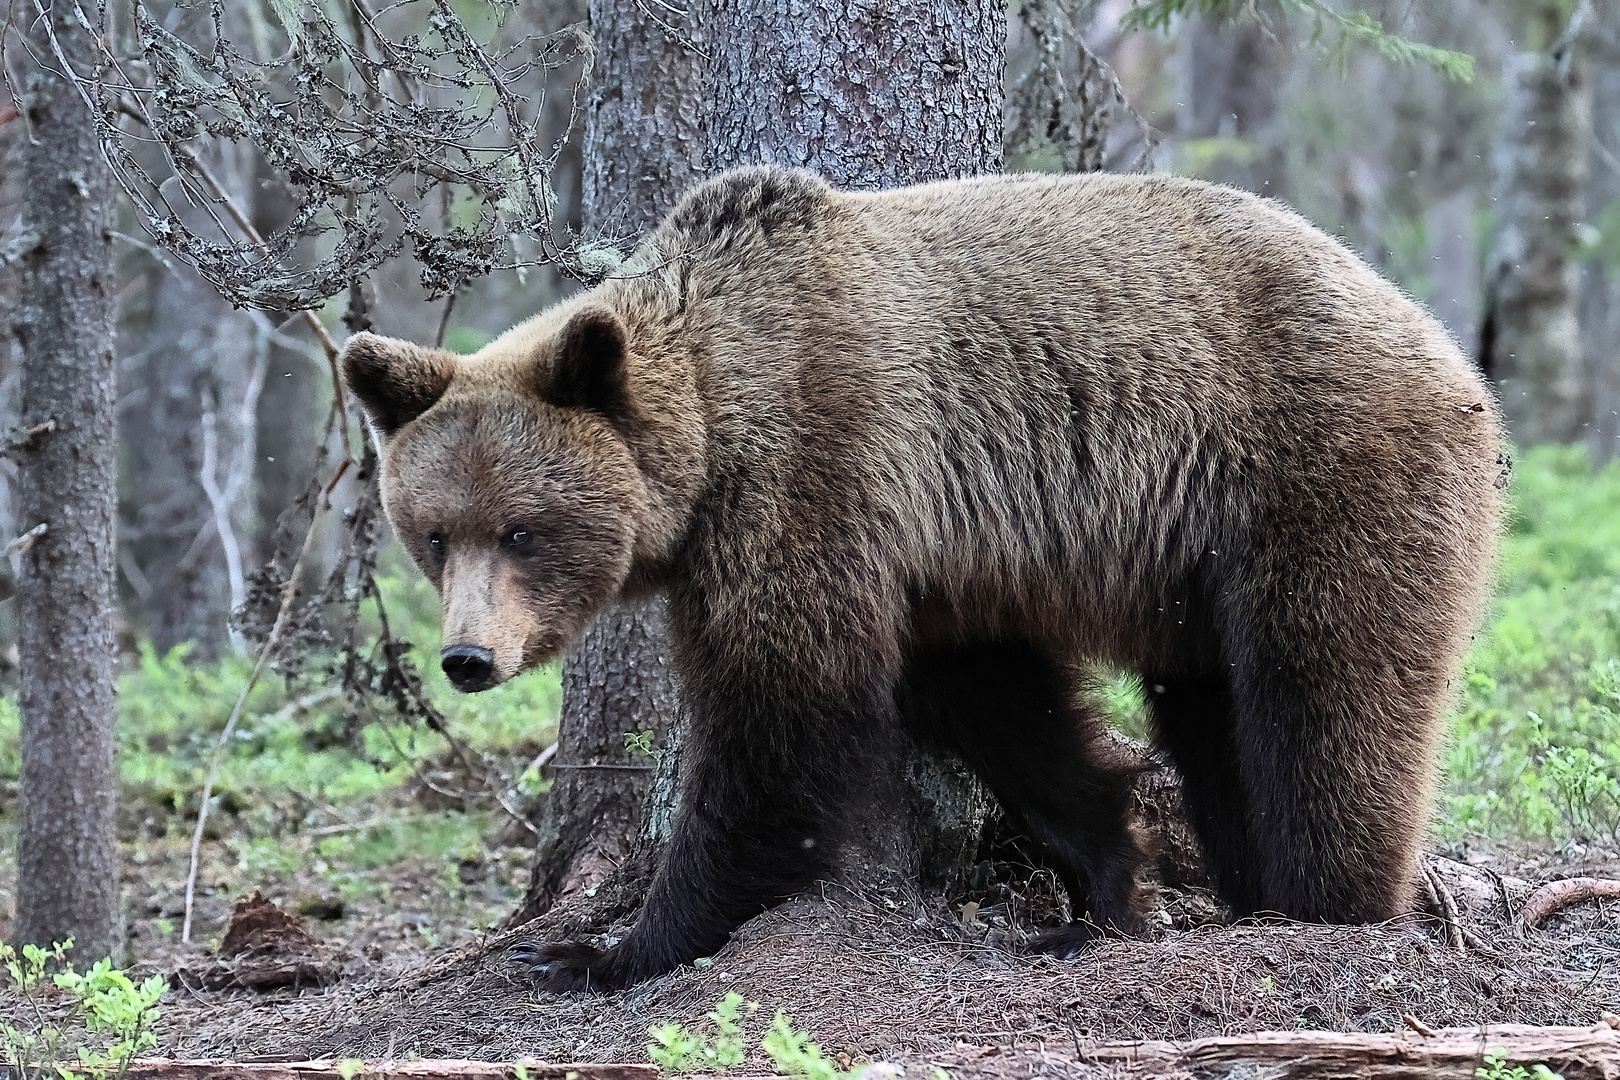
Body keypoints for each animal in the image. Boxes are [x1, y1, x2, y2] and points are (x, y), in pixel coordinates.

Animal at [341, 165, 1503, 990]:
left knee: (1326, 700)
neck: (714, 421)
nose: (468, 657)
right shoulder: (936, 559)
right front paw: (1099, 885)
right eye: (435, 533)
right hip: (1201, 563)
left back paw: (1327, 905)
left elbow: (782, 712)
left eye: (524, 530)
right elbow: (992, 702)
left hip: (1315, 474)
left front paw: (602, 948)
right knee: (1213, 712)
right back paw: (1249, 883)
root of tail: (1446, 349)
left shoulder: (816, 467)